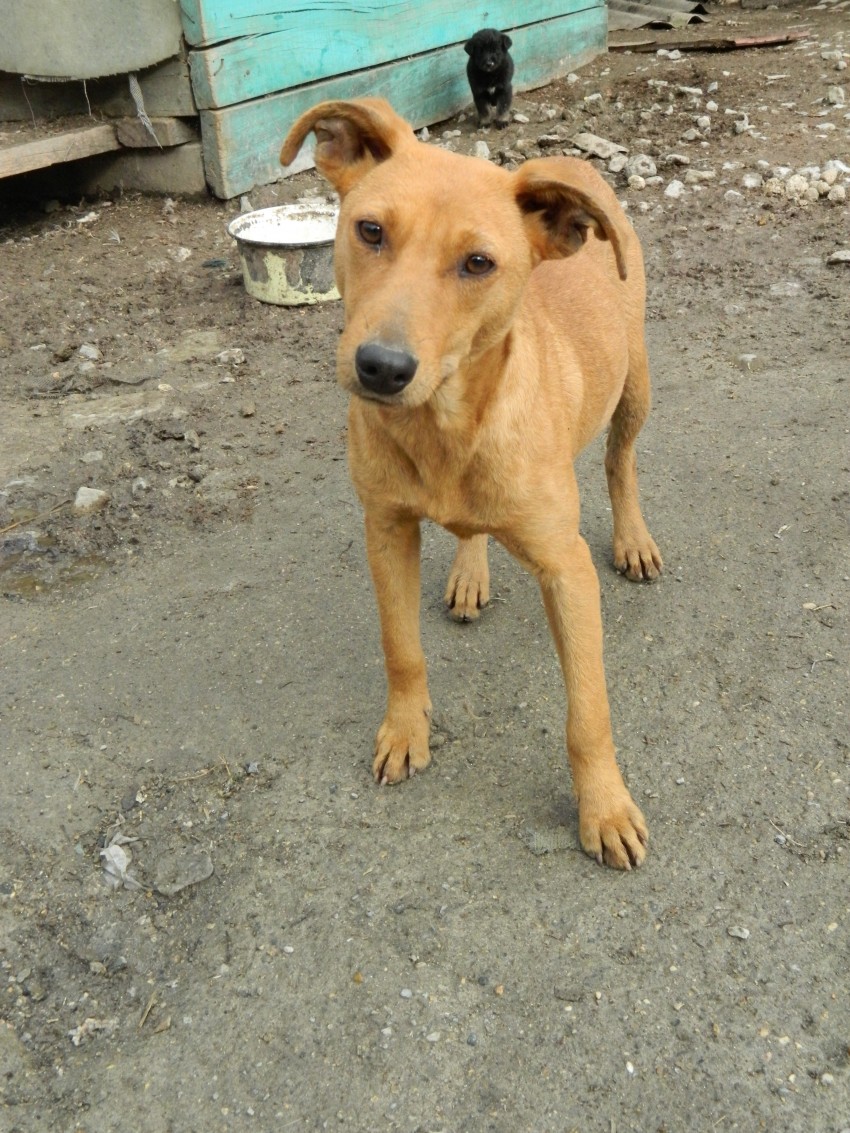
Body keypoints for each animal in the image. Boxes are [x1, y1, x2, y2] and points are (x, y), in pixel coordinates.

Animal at [283, 101, 661, 870]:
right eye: (370, 230)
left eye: (479, 263)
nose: (381, 367)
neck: (445, 427)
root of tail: (565, 162)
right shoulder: (385, 530)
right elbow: (401, 649)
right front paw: (406, 731)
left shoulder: (567, 568)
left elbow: (588, 710)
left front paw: (604, 807)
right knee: (473, 529)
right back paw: (470, 569)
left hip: (634, 384)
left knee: (621, 461)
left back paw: (633, 537)